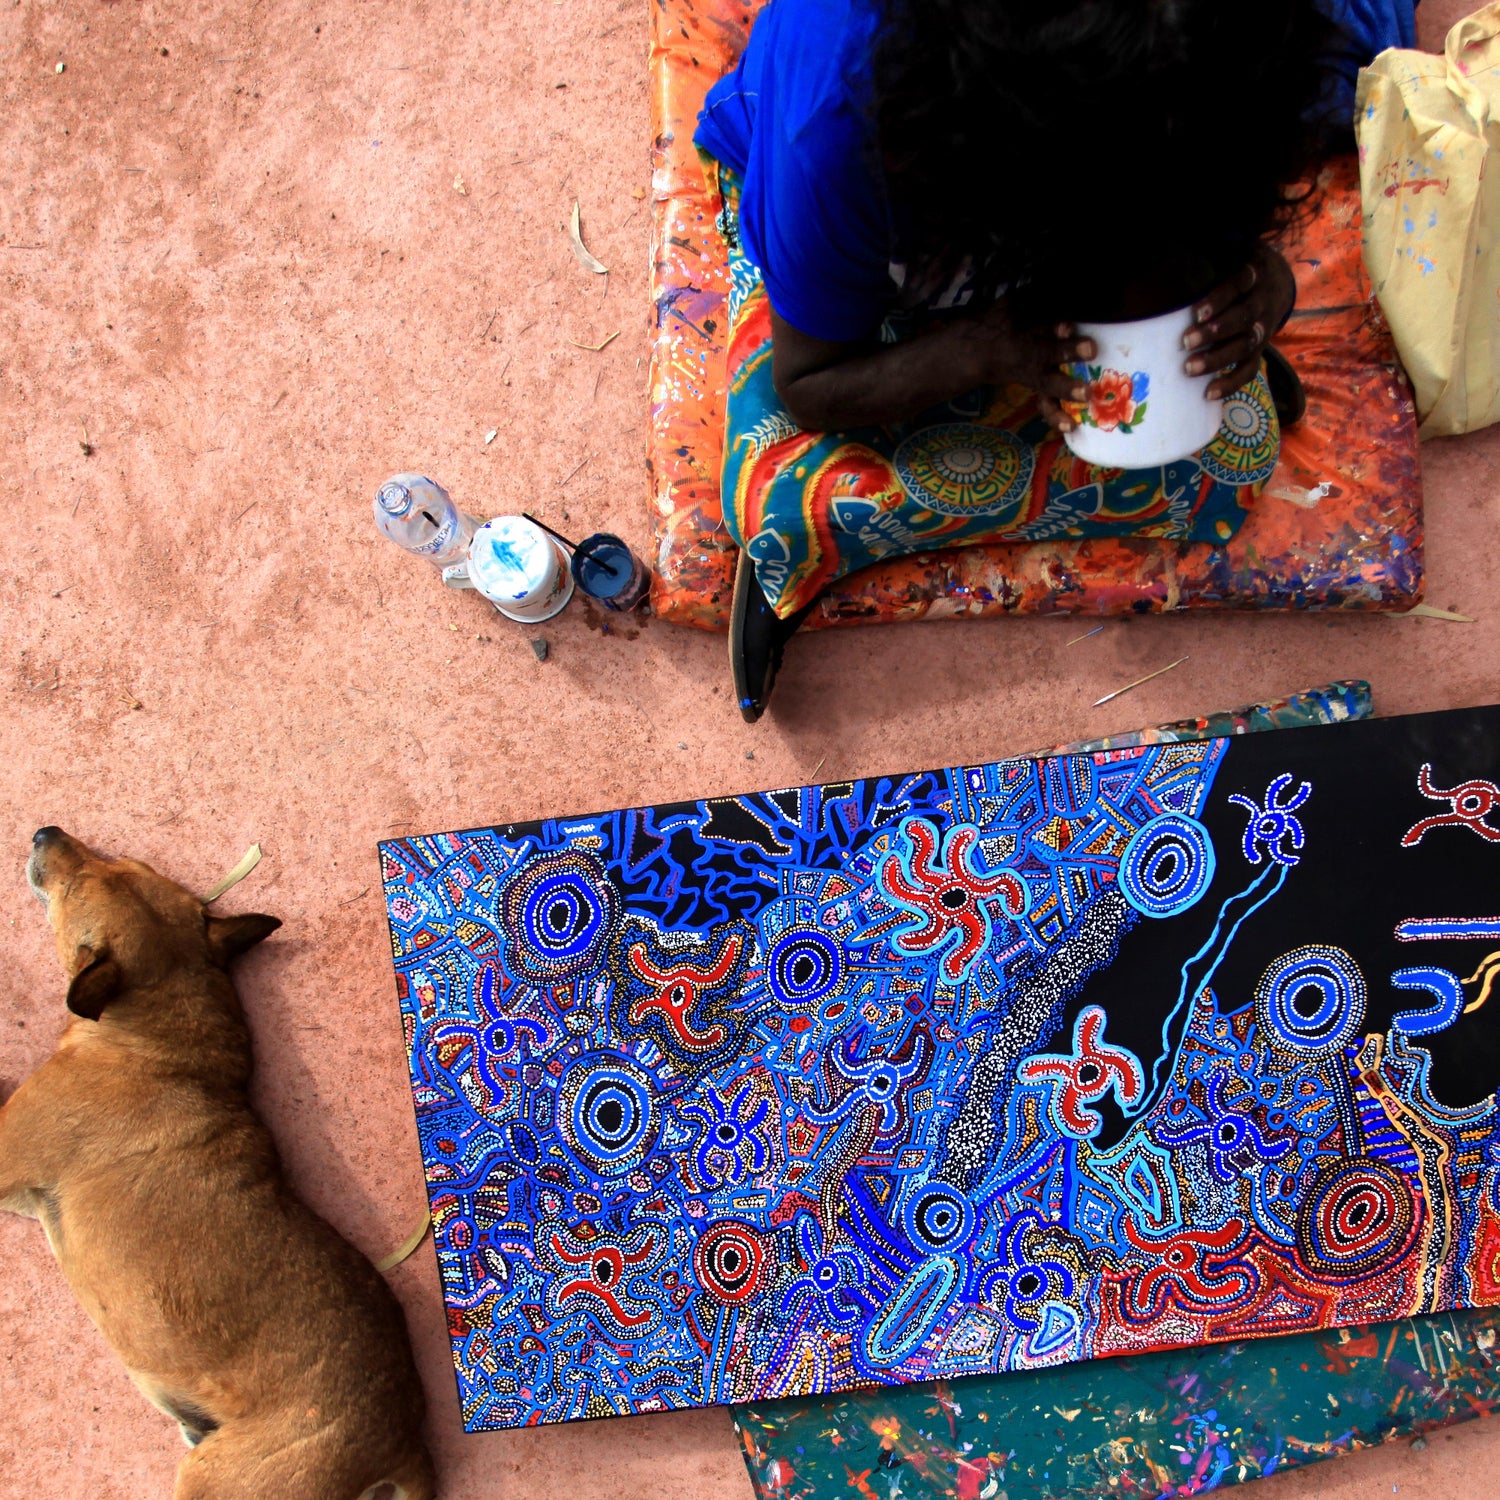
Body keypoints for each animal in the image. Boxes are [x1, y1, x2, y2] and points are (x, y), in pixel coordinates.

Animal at [0, 828, 438, 1500]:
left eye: (74, 888)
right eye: (128, 861)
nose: (45, 834)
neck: (158, 1031)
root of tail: (405, 1446)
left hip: (211, 1478)